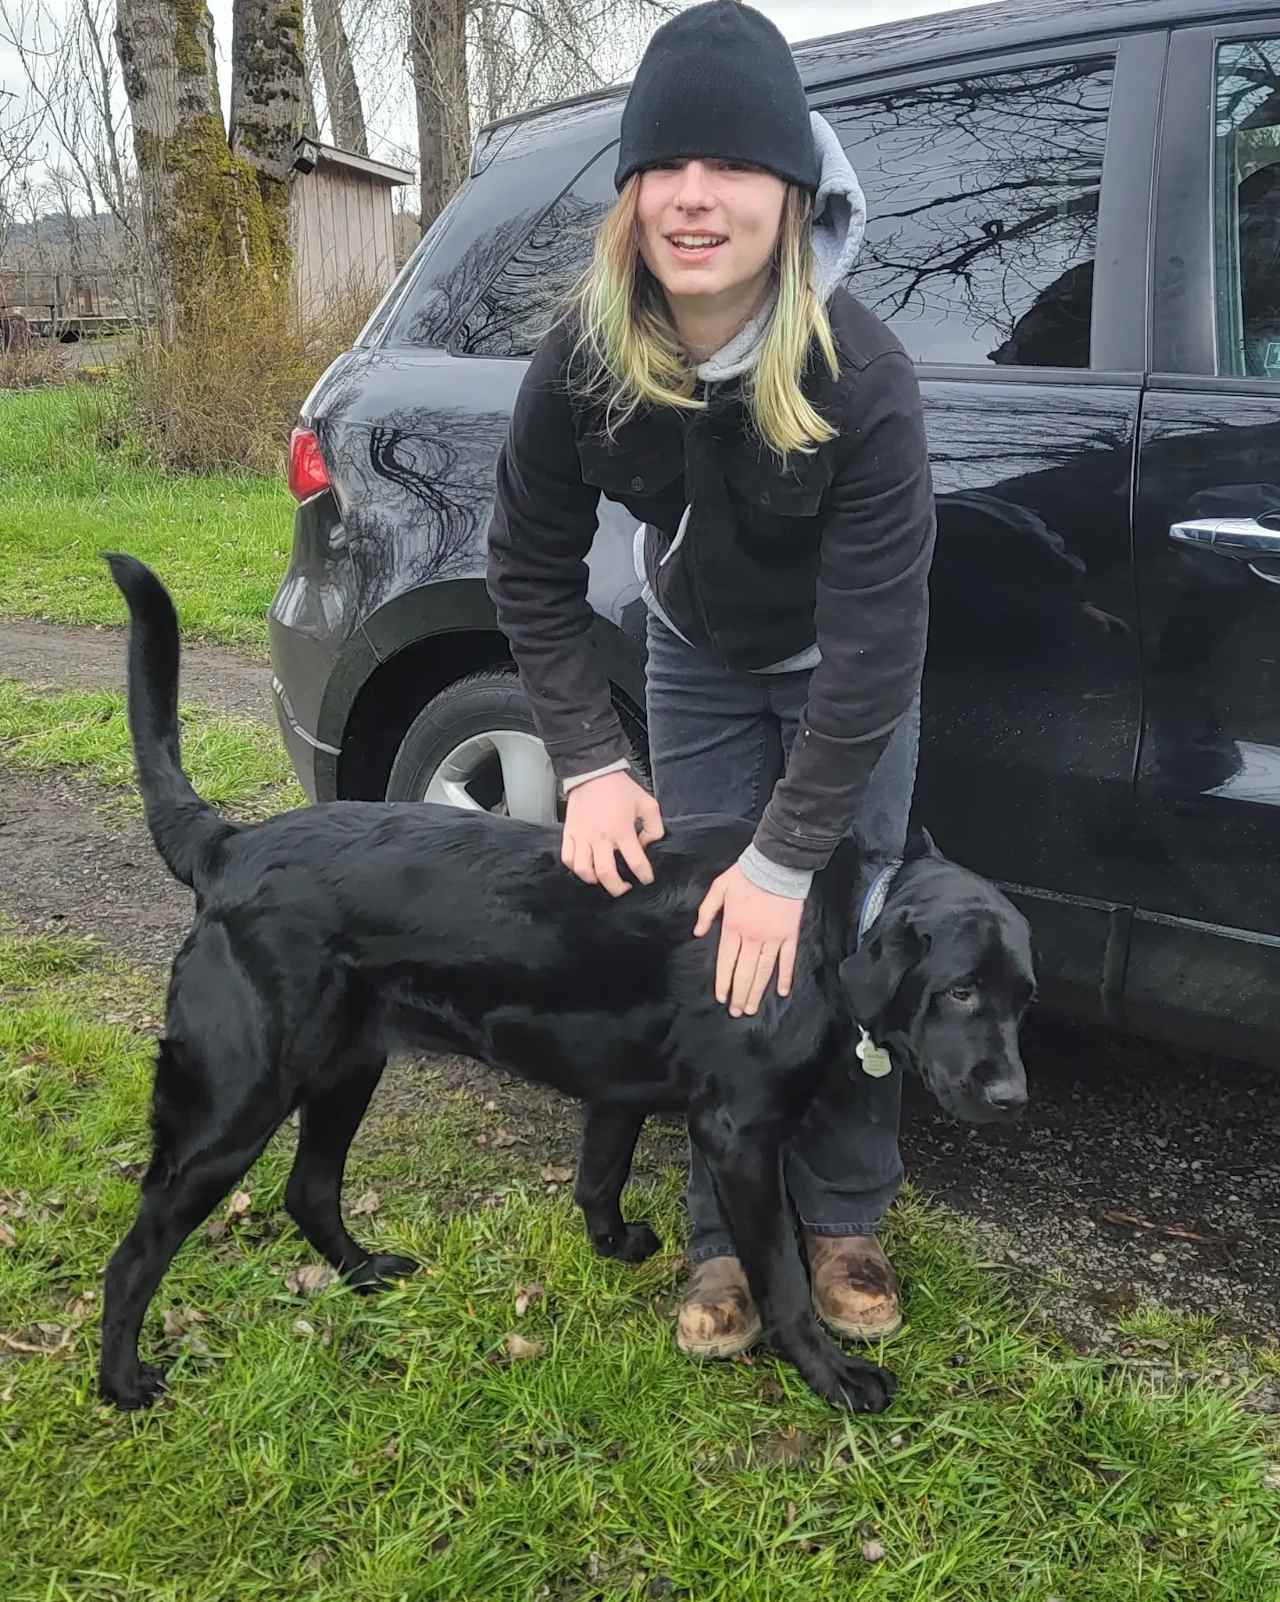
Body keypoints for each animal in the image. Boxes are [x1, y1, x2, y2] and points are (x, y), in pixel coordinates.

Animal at [102, 557, 1038, 1409]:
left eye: (1021, 999)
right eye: (960, 991)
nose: (1011, 1097)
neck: (828, 924)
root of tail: (229, 845)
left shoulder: (620, 1087)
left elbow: (599, 1175)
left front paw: (611, 1244)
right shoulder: (738, 1133)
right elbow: (781, 1277)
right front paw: (832, 1376)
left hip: (346, 1065)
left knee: (308, 1190)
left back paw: (365, 1273)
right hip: (236, 1100)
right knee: (139, 1246)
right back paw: (122, 1380)